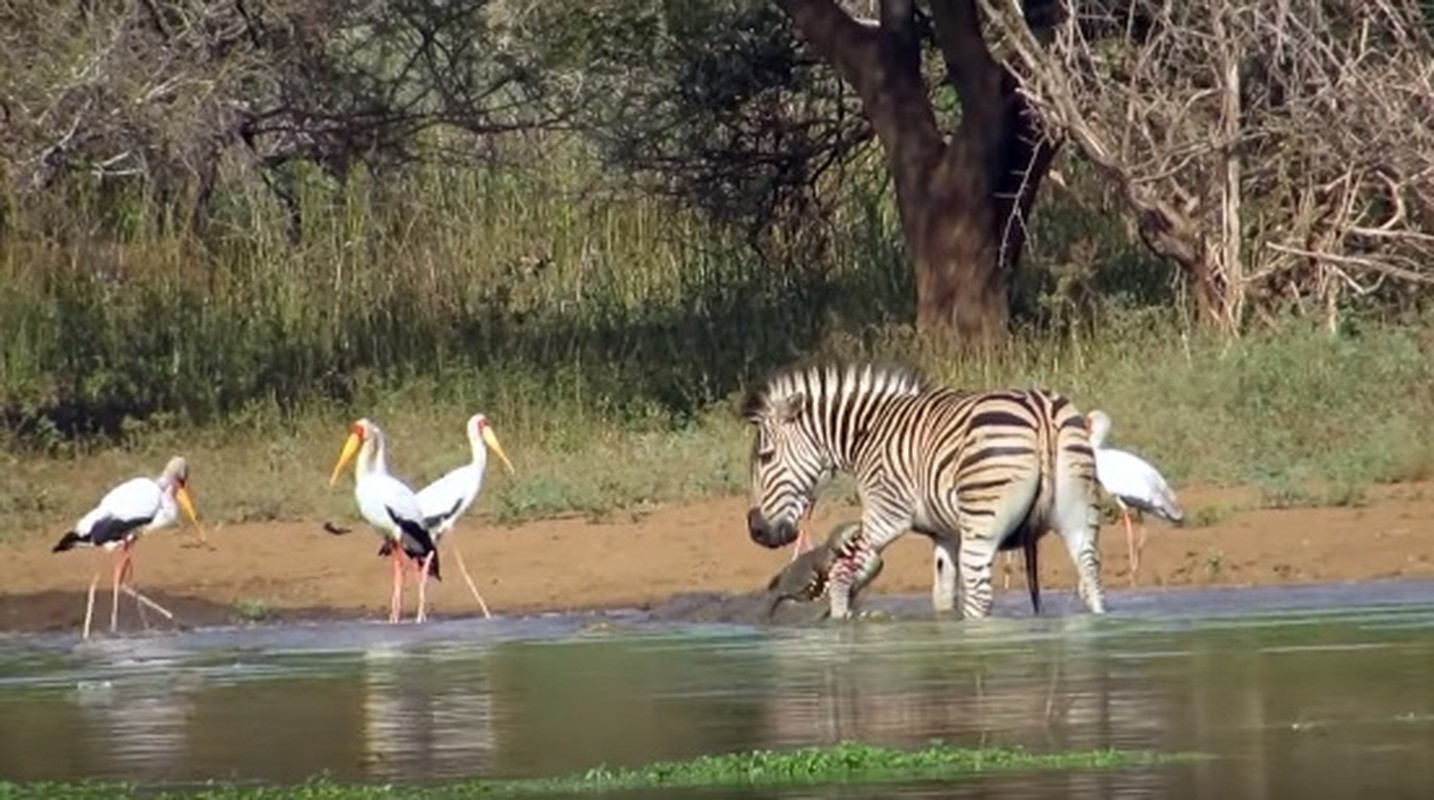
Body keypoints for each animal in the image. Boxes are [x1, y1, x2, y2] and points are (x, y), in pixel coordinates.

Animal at [745, 362, 1101, 622]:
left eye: (766, 457)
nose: (756, 530)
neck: (867, 433)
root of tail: (1041, 411)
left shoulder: (886, 513)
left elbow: (842, 579)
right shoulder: (944, 533)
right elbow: (942, 595)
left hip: (983, 523)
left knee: (979, 594)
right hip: (1080, 515)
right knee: (1091, 579)